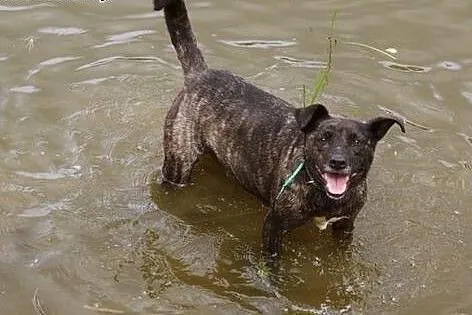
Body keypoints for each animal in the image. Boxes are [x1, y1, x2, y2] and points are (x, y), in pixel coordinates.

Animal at [153, 0, 404, 262]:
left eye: (357, 142)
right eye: (323, 138)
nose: (337, 162)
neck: (322, 194)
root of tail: (199, 73)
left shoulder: (345, 226)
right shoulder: (274, 226)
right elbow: (272, 263)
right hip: (177, 165)